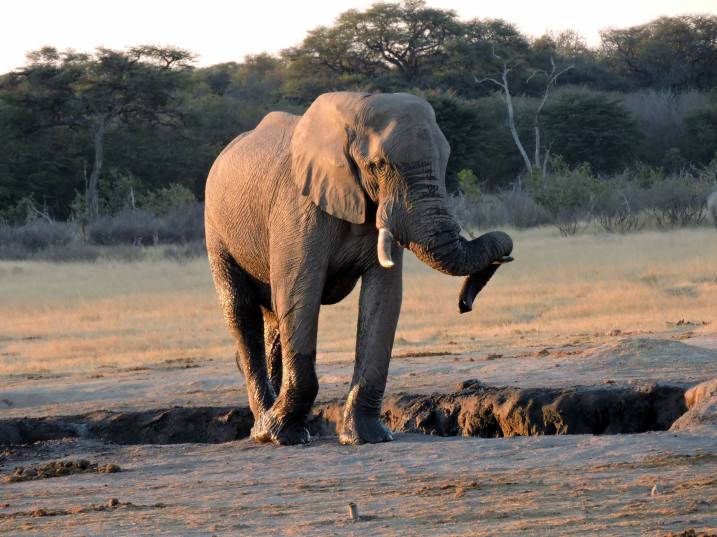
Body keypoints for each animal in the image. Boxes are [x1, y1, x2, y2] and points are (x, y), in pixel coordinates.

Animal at [204, 92, 513, 446]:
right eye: (378, 165)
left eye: (445, 160)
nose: (465, 304)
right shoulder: (297, 207)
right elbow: (300, 295)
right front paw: (284, 435)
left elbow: (384, 299)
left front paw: (368, 436)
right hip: (215, 230)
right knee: (241, 311)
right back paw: (262, 430)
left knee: (272, 319)